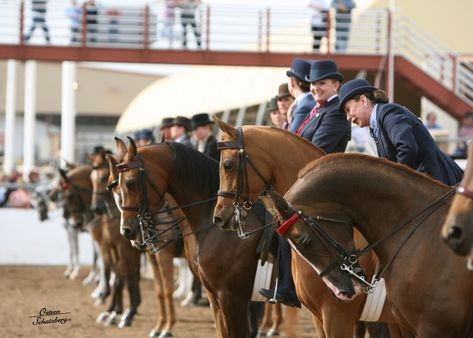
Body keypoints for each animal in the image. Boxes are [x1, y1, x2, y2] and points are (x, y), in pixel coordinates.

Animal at [114, 138, 282, 338]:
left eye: (131, 182)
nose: (127, 230)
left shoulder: (232, 297)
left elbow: (166, 290)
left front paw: (165, 328)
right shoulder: (215, 296)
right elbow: (161, 291)